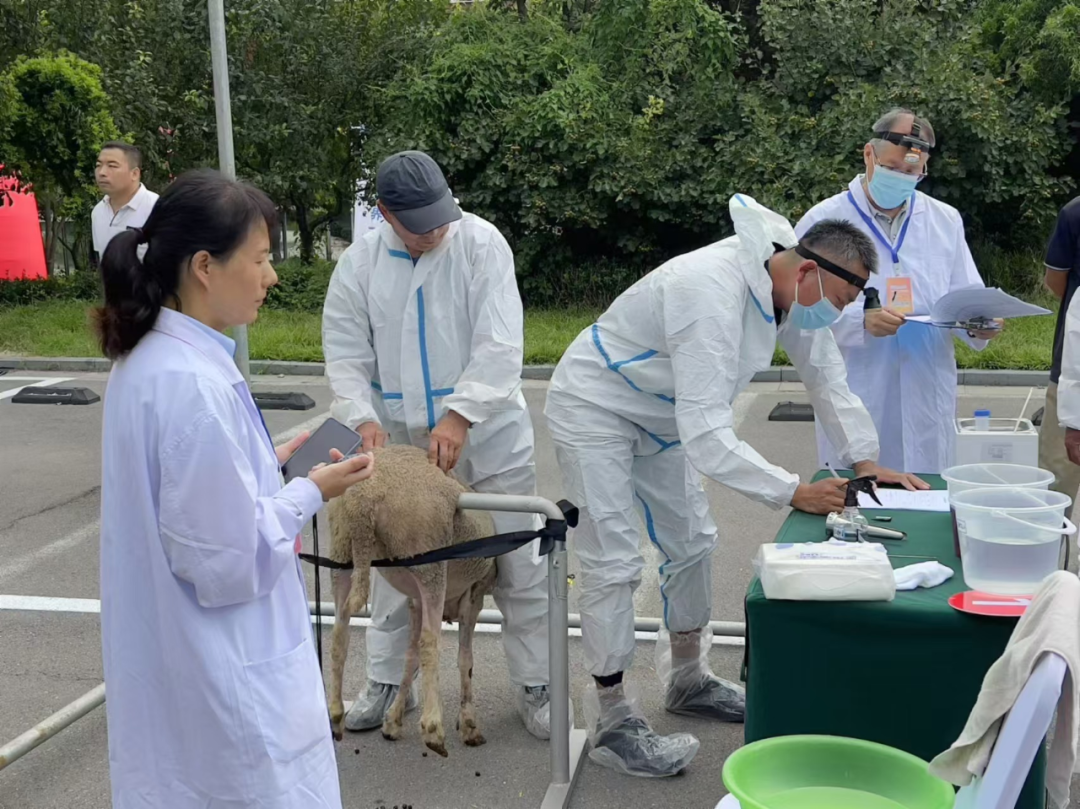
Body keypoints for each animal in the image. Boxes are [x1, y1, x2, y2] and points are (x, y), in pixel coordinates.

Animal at [326, 442, 498, 756]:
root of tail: (365, 494)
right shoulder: (473, 599)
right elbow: (464, 659)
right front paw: (468, 724)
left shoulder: (414, 603)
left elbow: (408, 657)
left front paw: (393, 721)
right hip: (429, 559)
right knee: (431, 643)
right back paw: (433, 729)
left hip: (341, 552)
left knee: (339, 635)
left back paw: (335, 715)